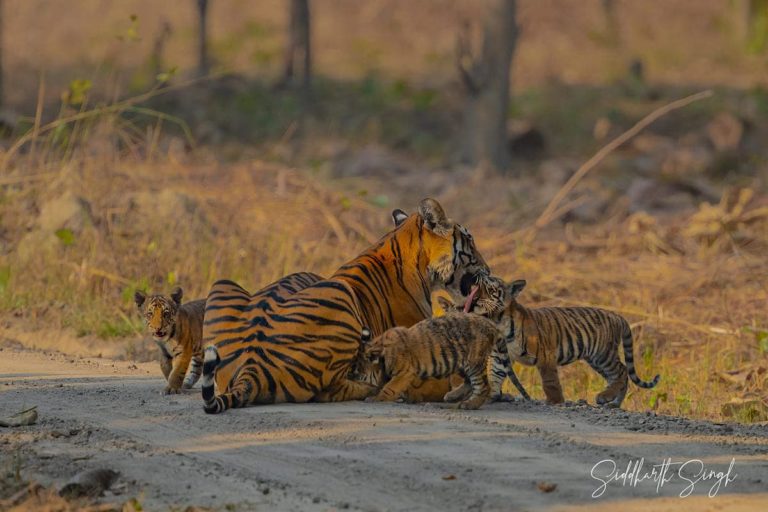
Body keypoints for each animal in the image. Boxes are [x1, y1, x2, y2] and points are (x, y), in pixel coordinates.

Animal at [200, 198, 486, 414]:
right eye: (470, 241)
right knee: (329, 391)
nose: (488, 268)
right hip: (340, 293)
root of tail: (252, 366)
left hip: (223, 284)